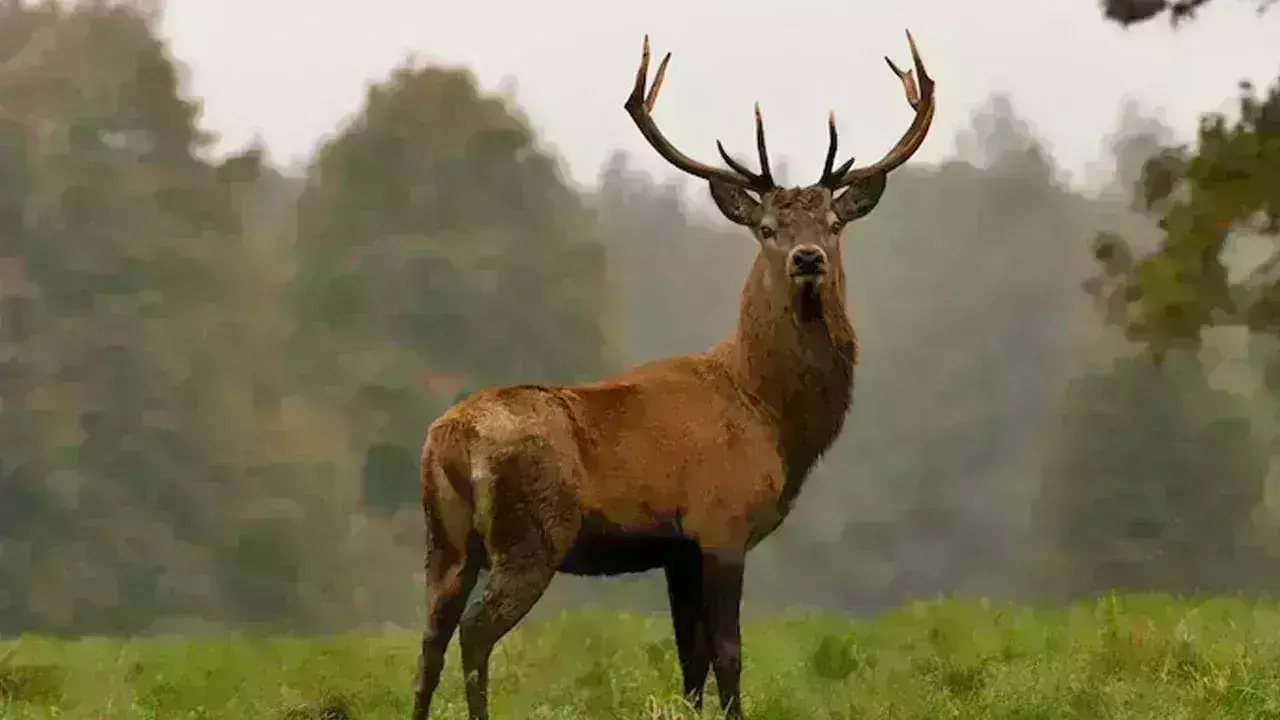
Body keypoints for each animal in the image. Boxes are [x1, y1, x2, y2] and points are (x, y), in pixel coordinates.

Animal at [411, 30, 935, 720]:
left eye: (833, 224)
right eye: (767, 228)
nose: (808, 259)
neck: (770, 414)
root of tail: (447, 441)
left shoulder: (676, 551)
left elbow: (691, 663)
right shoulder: (722, 524)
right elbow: (728, 656)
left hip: (444, 539)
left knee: (429, 639)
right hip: (531, 532)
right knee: (474, 632)